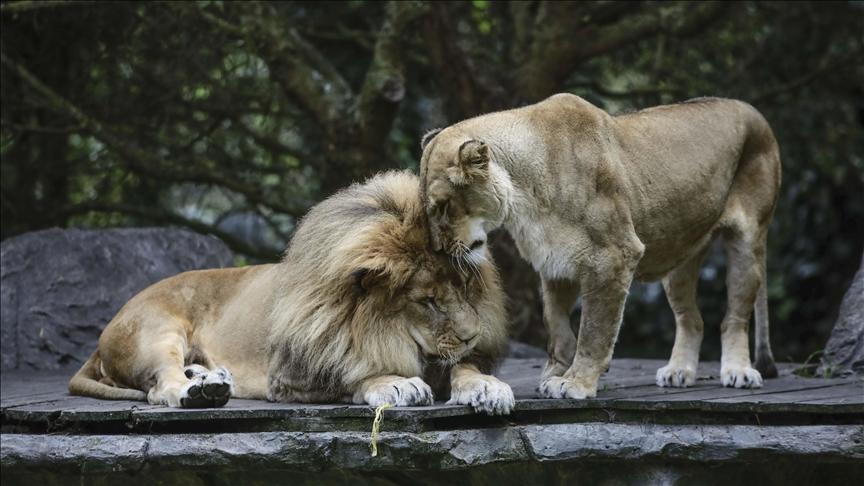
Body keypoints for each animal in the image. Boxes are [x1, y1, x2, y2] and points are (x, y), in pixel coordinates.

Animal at [69, 171, 512, 414]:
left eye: (466, 289)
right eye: (428, 301)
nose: (473, 335)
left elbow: (464, 367)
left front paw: (486, 386)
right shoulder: (288, 376)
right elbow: (350, 377)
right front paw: (396, 383)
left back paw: (212, 380)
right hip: (157, 332)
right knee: (161, 385)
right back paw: (196, 392)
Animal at [418, 94, 784, 398]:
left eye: (443, 206)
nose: (436, 250)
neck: (524, 195)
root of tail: (751, 109)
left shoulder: (614, 255)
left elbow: (594, 330)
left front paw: (575, 383)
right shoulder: (554, 263)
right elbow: (557, 328)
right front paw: (554, 375)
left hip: (748, 243)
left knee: (734, 316)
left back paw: (739, 371)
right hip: (680, 259)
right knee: (691, 318)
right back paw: (679, 371)